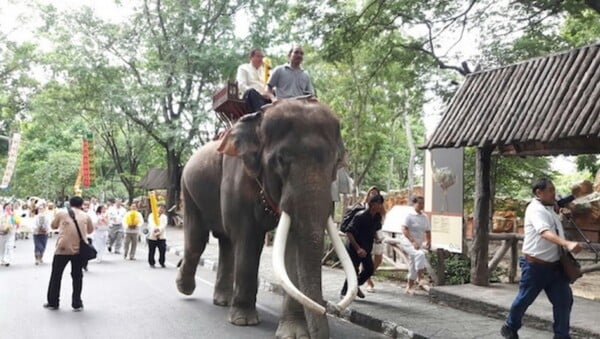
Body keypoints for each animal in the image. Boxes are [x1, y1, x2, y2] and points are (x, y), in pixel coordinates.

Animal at [177, 101, 356, 339]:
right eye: (281, 159)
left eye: (337, 162)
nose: (327, 309)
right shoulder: (238, 177)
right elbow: (248, 239)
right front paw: (243, 322)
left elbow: (292, 248)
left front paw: (294, 333)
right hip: (188, 190)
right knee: (197, 240)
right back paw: (185, 288)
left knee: (225, 242)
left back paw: (223, 301)